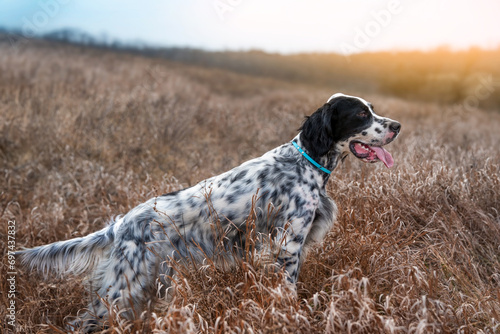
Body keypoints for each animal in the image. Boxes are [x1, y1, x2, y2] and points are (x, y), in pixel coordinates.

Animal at [16, 92, 402, 330]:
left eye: (372, 109)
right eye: (361, 114)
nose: (397, 126)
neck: (306, 161)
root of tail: (123, 223)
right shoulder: (288, 247)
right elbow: (289, 292)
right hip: (125, 283)